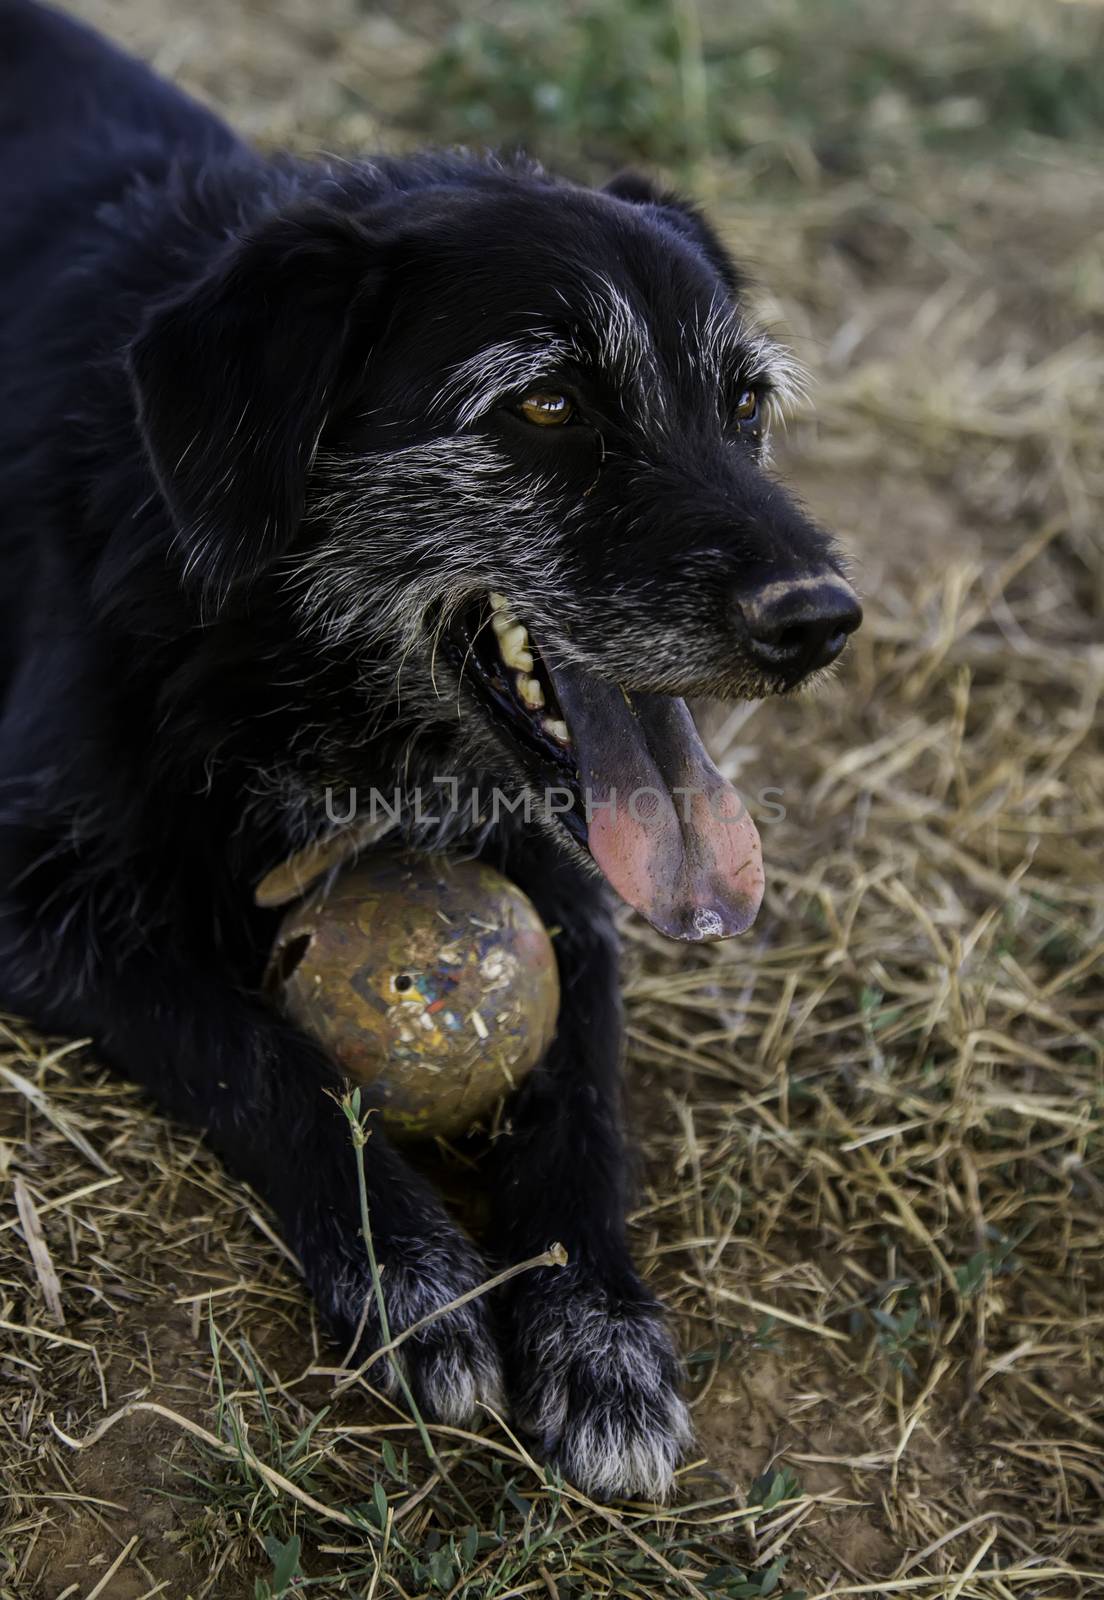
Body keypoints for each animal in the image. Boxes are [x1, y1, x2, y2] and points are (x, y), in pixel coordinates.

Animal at [0, 0, 857, 1497]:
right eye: (549, 407)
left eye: (744, 406)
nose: (820, 621)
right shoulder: (33, 885)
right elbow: (258, 1050)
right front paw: (412, 1272)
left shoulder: (575, 894)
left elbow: (582, 1105)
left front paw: (599, 1325)